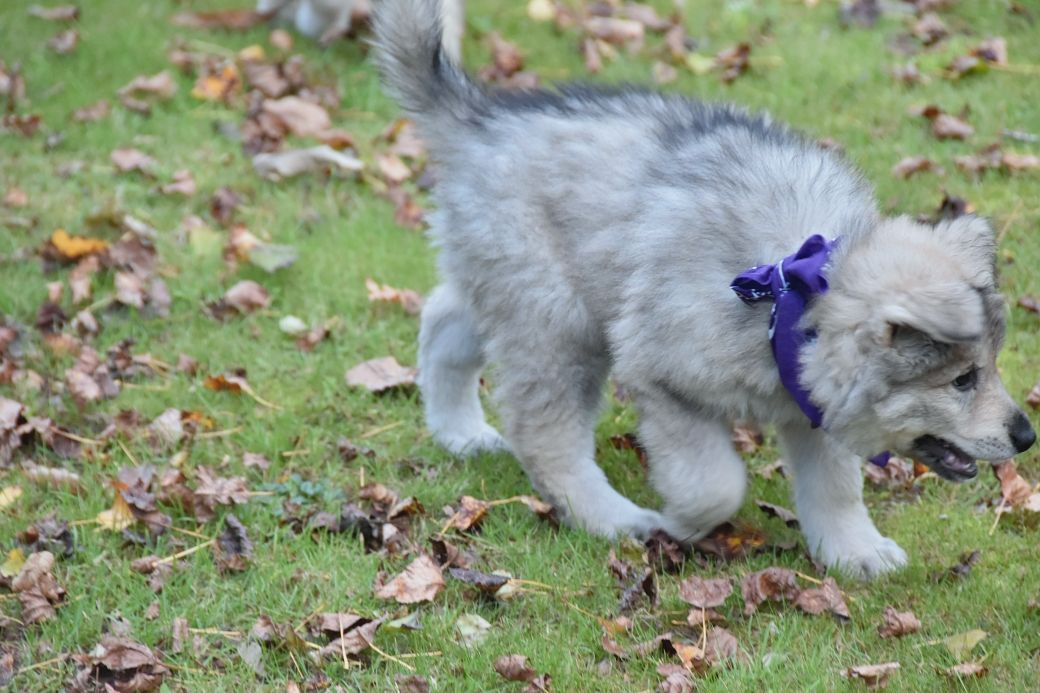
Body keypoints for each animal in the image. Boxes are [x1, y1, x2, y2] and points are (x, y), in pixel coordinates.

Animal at [373, 0, 1036, 579]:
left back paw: (458, 430)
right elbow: (715, 483)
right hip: (557, 323)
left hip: (518, 290)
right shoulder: (663, 379)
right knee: (547, 437)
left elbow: (836, 488)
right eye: (962, 380)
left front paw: (855, 551)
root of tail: (481, 120)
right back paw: (613, 517)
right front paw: (683, 522)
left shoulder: (813, 407)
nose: (1027, 437)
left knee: (442, 319)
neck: (790, 297)